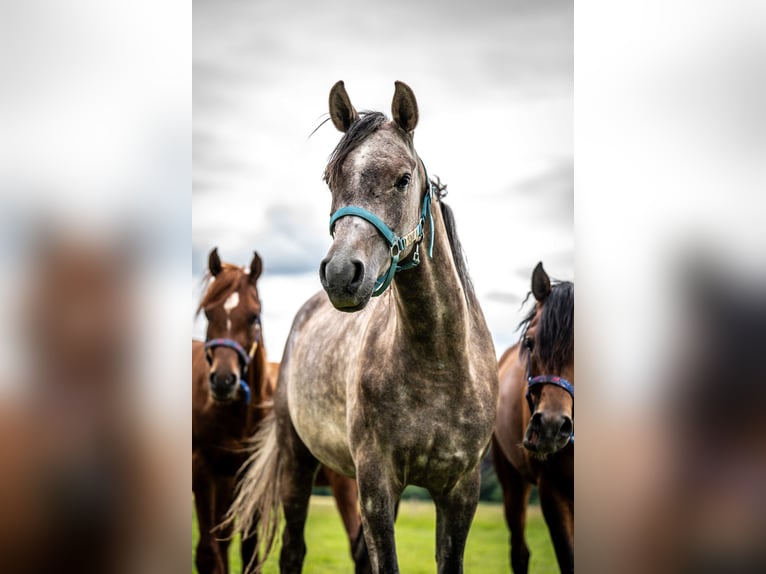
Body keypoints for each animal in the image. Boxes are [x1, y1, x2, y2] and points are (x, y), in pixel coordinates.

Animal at [231, 81, 500, 574]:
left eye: (403, 179)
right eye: (330, 180)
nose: (341, 274)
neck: (439, 362)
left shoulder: (460, 491)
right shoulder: (377, 485)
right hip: (297, 463)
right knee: (293, 549)